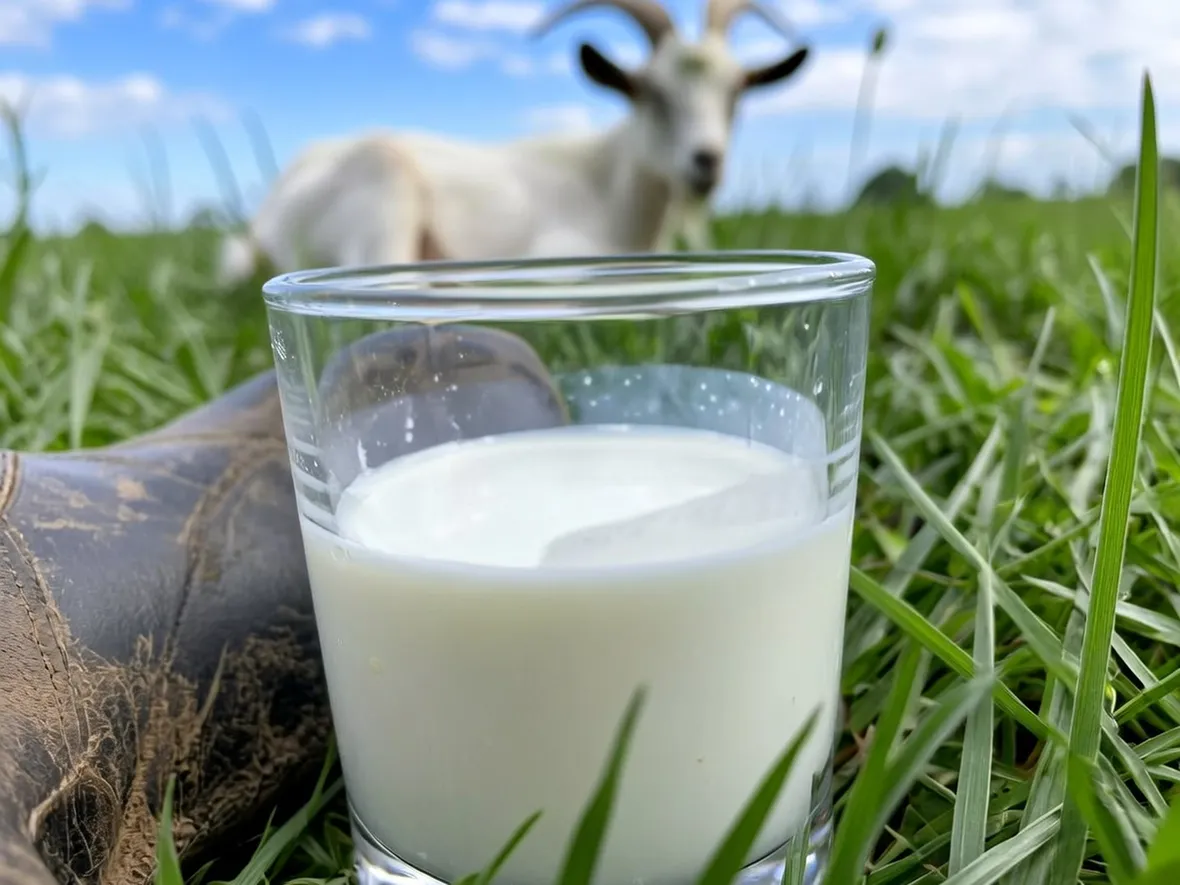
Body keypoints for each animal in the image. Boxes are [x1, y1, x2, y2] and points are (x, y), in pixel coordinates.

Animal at [218, 0, 810, 285]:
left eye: (737, 95)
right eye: (652, 94)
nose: (706, 161)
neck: (611, 185)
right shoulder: (556, 249)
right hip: (383, 181)